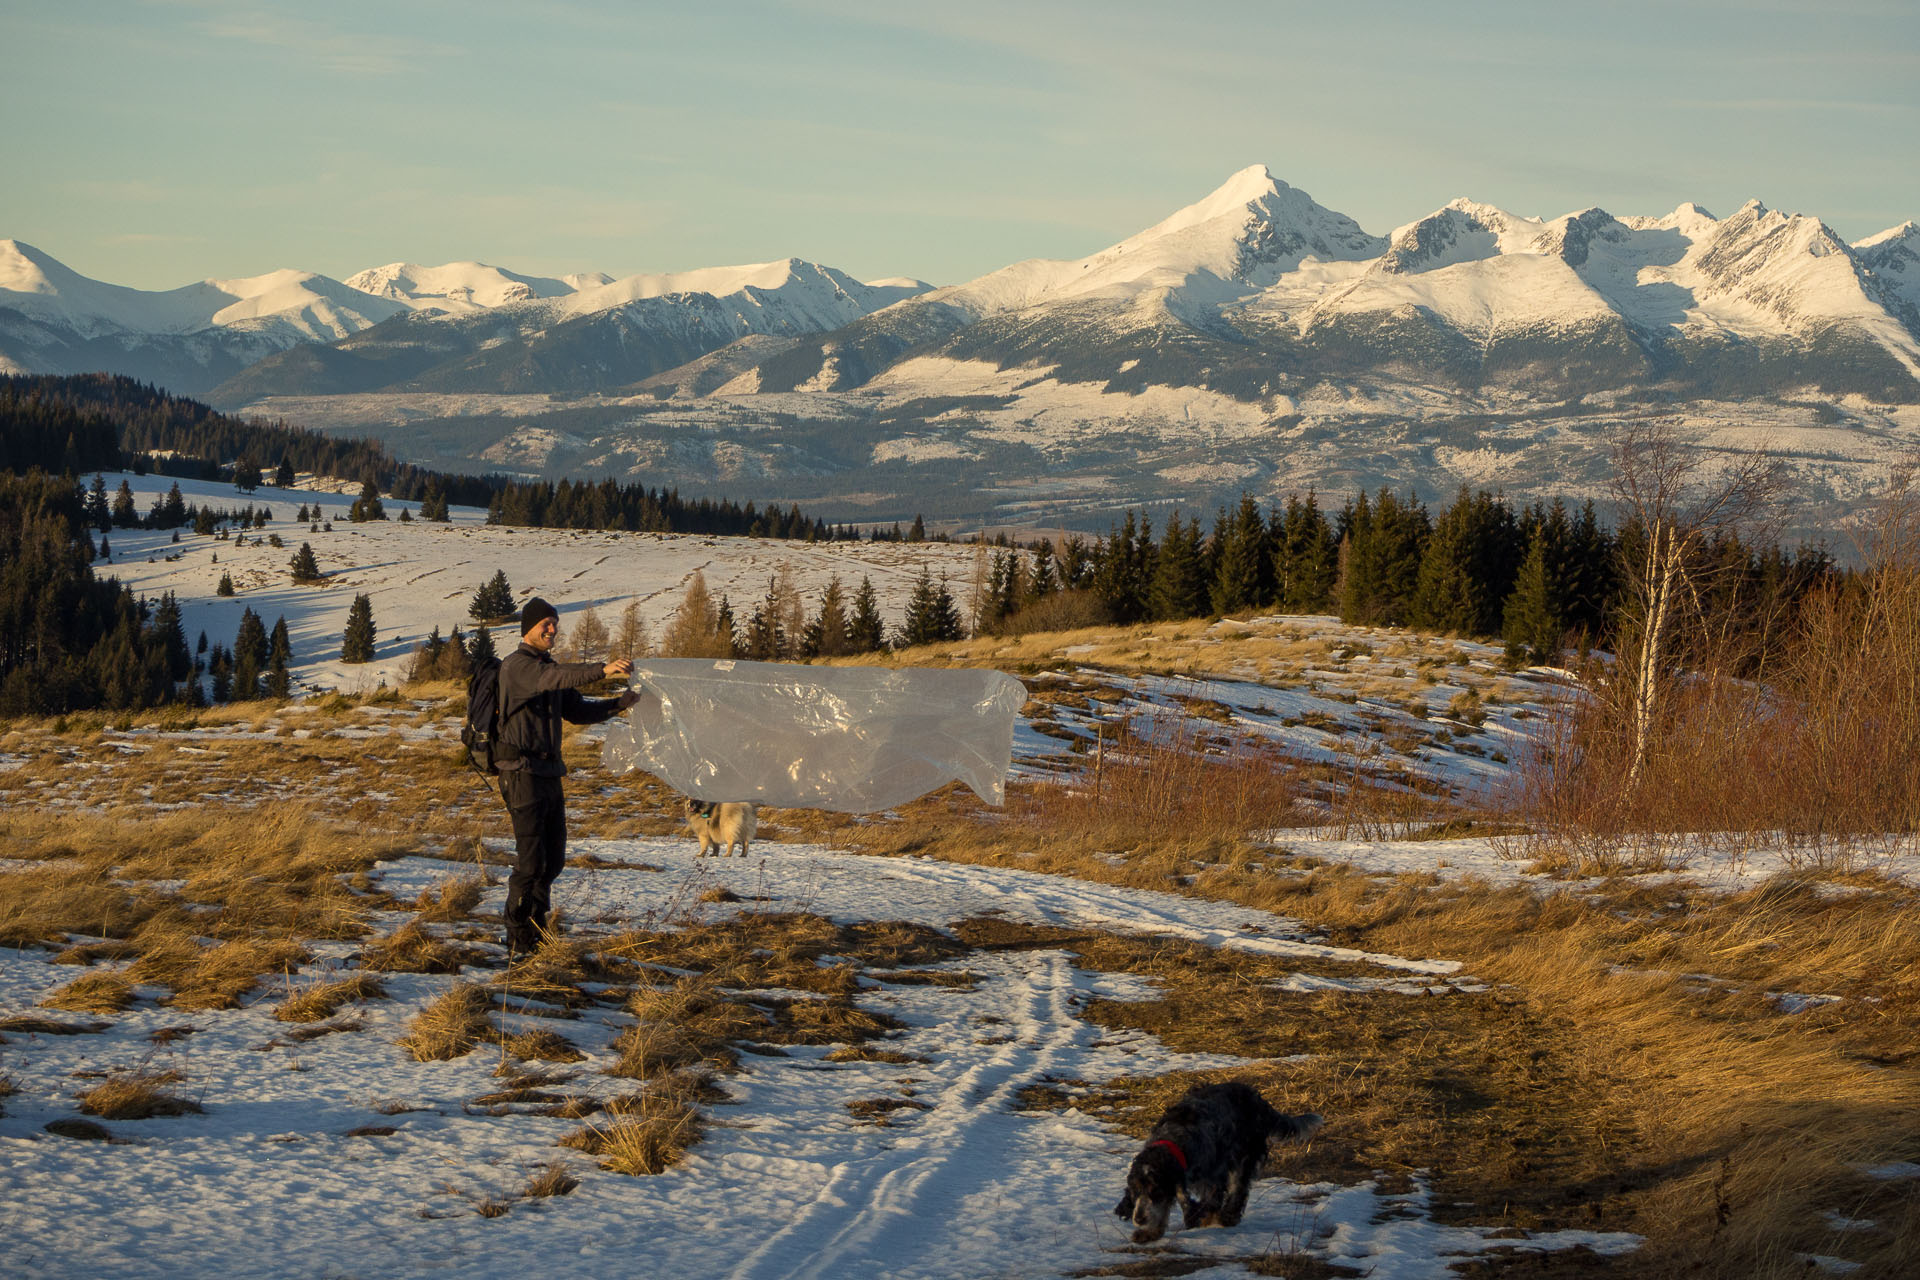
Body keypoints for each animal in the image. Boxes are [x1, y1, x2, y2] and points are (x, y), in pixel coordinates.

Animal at [1113, 1074, 1320, 1243]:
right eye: (1135, 1192)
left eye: (1155, 1191)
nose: (1139, 1219)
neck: (1174, 1140)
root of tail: (1256, 1098)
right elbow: (1164, 1209)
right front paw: (1149, 1233)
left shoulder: (1212, 1177)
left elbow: (1207, 1201)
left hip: (1244, 1156)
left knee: (1238, 1190)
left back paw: (1228, 1217)